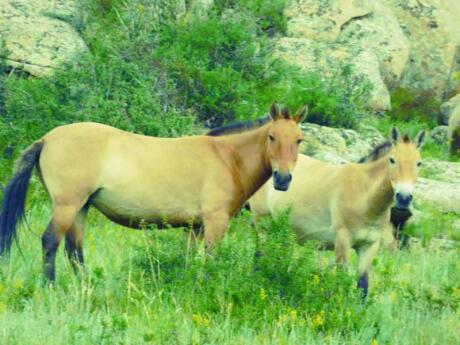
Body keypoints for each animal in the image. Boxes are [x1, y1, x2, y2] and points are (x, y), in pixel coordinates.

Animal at [1, 101, 310, 280]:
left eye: (298, 140)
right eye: (272, 137)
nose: (283, 179)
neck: (226, 158)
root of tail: (46, 139)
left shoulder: (194, 228)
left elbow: (189, 262)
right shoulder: (214, 223)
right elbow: (209, 262)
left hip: (81, 208)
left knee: (74, 251)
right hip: (67, 206)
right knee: (50, 242)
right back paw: (50, 286)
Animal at [250, 126, 426, 296]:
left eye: (419, 163)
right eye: (392, 160)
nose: (404, 198)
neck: (363, 195)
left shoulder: (369, 246)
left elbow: (363, 285)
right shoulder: (342, 242)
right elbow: (341, 279)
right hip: (263, 223)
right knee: (260, 255)